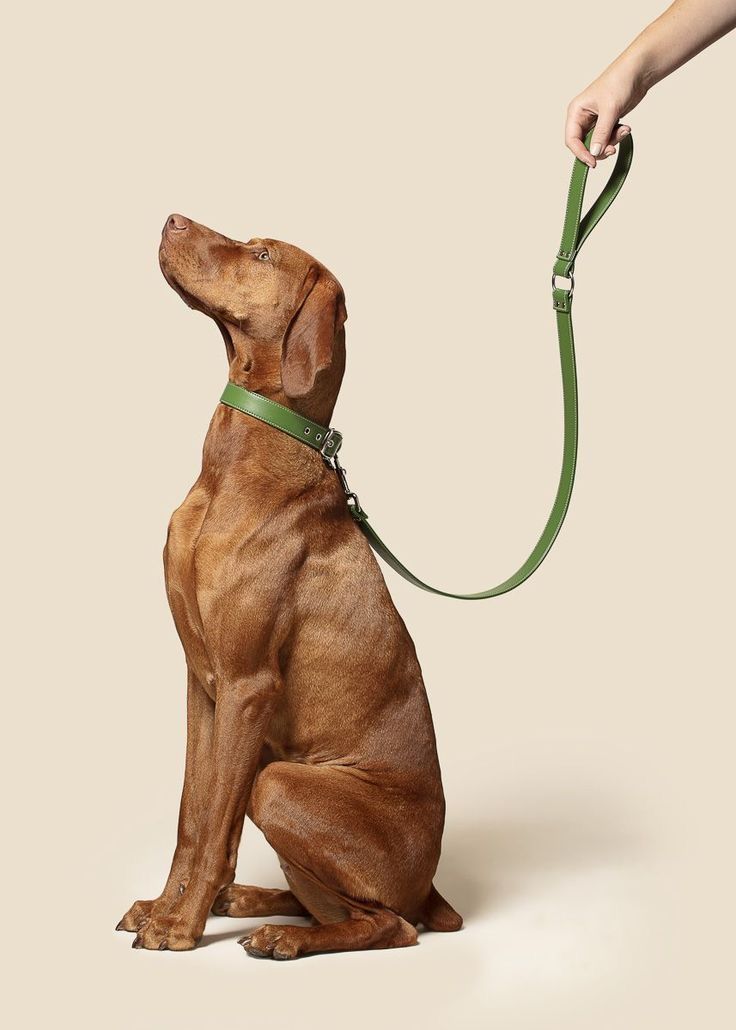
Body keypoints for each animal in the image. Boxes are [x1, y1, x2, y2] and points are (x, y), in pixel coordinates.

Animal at [115, 211, 463, 955]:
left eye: (263, 254)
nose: (171, 218)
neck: (231, 468)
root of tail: (431, 888)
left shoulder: (247, 686)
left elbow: (214, 828)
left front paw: (179, 927)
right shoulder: (202, 683)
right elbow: (192, 816)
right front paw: (163, 906)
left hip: (277, 783)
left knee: (390, 925)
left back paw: (282, 935)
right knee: (338, 908)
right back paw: (250, 902)